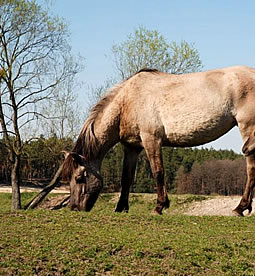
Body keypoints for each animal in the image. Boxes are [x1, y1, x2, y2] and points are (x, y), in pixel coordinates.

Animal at [61, 66, 255, 216]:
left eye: (79, 178)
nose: (75, 208)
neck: (127, 101)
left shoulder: (151, 139)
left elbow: (158, 172)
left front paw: (159, 206)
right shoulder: (131, 147)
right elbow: (126, 178)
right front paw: (121, 208)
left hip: (247, 127)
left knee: (250, 167)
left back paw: (240, 208)